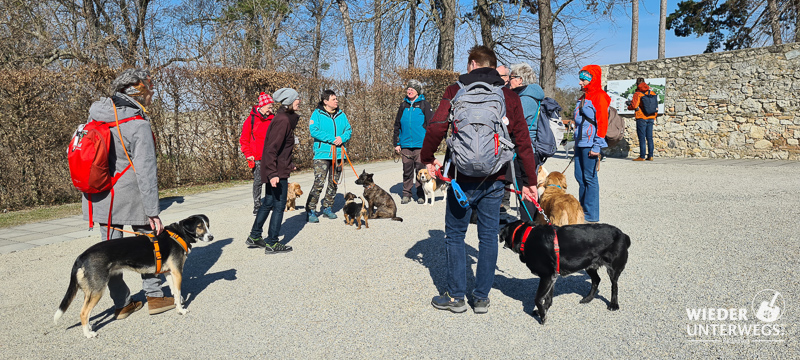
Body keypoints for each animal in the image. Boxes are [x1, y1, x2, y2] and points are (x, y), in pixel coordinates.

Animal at [54, 215, 214, 338]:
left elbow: (175, 292)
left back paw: (89, 327)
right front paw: (181, 310)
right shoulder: (177, 272)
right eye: (199, 226)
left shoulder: (170, 272)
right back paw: (88, 334)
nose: (211, 237)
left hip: (90, 291)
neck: (179, 233)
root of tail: (81, 256)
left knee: (86, 313)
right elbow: (178, 291)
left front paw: (177, 303)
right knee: (83, 313)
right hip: (98, 290)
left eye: (207, 225)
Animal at [500, 221, 632, 324]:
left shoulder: (547, 276)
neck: (526, 237)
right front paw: (543, 311)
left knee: (614, 285)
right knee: (596, 280)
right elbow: (548, 298)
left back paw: (614, 304)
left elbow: (538, 298)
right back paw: (588, 298)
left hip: (613, 268)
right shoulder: (551, 277)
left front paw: (542, 316)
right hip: (589, 265)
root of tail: (622, 234)